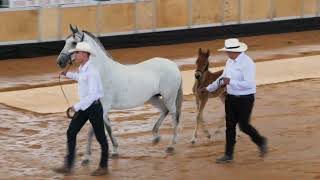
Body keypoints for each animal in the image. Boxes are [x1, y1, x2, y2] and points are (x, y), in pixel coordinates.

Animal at [57, 25, 182, 165]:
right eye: (65, 42)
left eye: (74, 43)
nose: (60, 61)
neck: (102, 72)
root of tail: (173, 65)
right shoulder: (101, 110)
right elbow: (108, 128)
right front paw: (114, 151)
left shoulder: (102, 108)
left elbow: (93, 131)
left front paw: (86, 157)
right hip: (153, 98)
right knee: (165, 111)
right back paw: (156, 137)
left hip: (169, 98)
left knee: (174, 117)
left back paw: (171, 145)